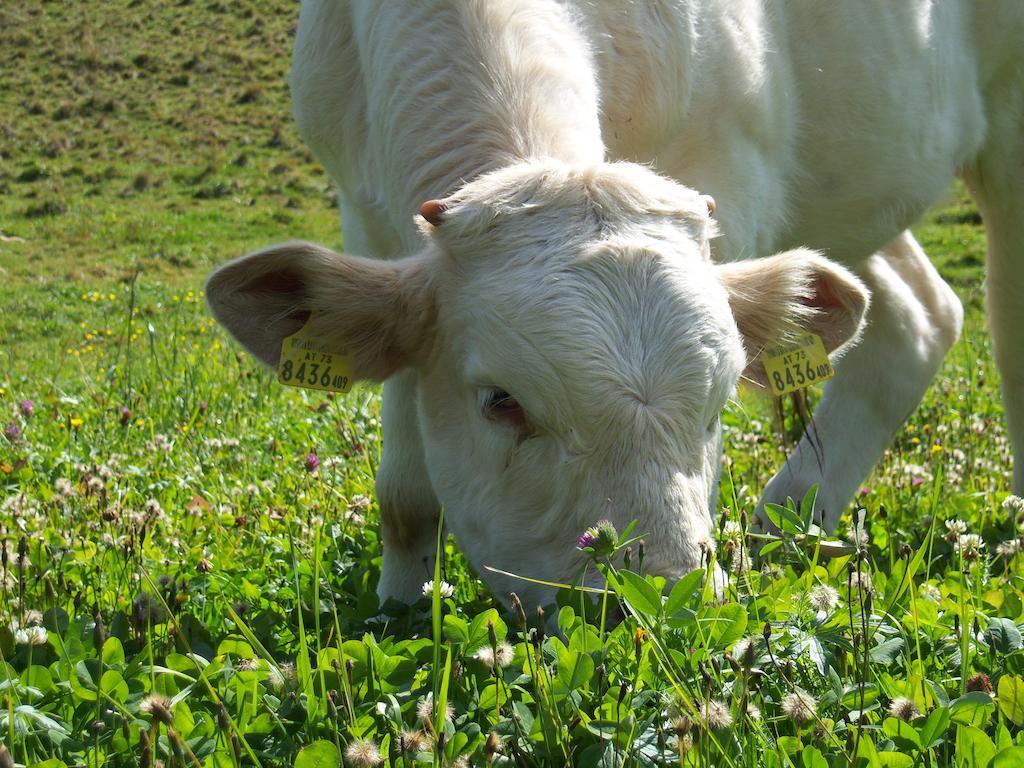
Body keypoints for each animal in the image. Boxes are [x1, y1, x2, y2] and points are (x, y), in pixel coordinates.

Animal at [203, 3, 1019, 610]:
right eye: (500, 401)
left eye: (722, 400)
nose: (667, 603)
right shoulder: (364, 214)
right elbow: (406, 497)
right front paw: (401, 613)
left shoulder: (735, 180)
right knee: (918, 315)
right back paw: (779, 530)